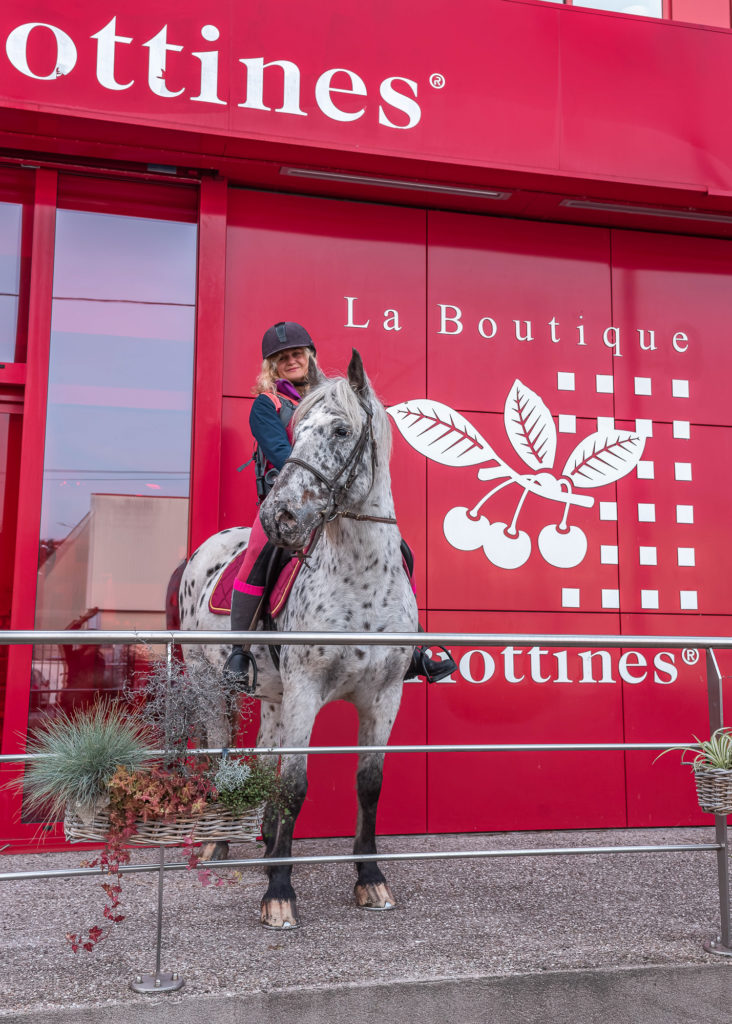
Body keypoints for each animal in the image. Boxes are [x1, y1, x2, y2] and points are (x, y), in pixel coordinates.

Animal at [179, 352, 417, 929]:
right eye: (294, 431)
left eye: (341, 429)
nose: (279, 516)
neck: (360, 582)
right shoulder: (307, 689)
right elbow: (295, 785)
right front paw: (279, 893)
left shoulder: (385, 696)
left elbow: (368, 784)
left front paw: (370, 879)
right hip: (208, 680)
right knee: (221, 749)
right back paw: (219, 843)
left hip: (273, 695)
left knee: (265, 756)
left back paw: (267, 841)